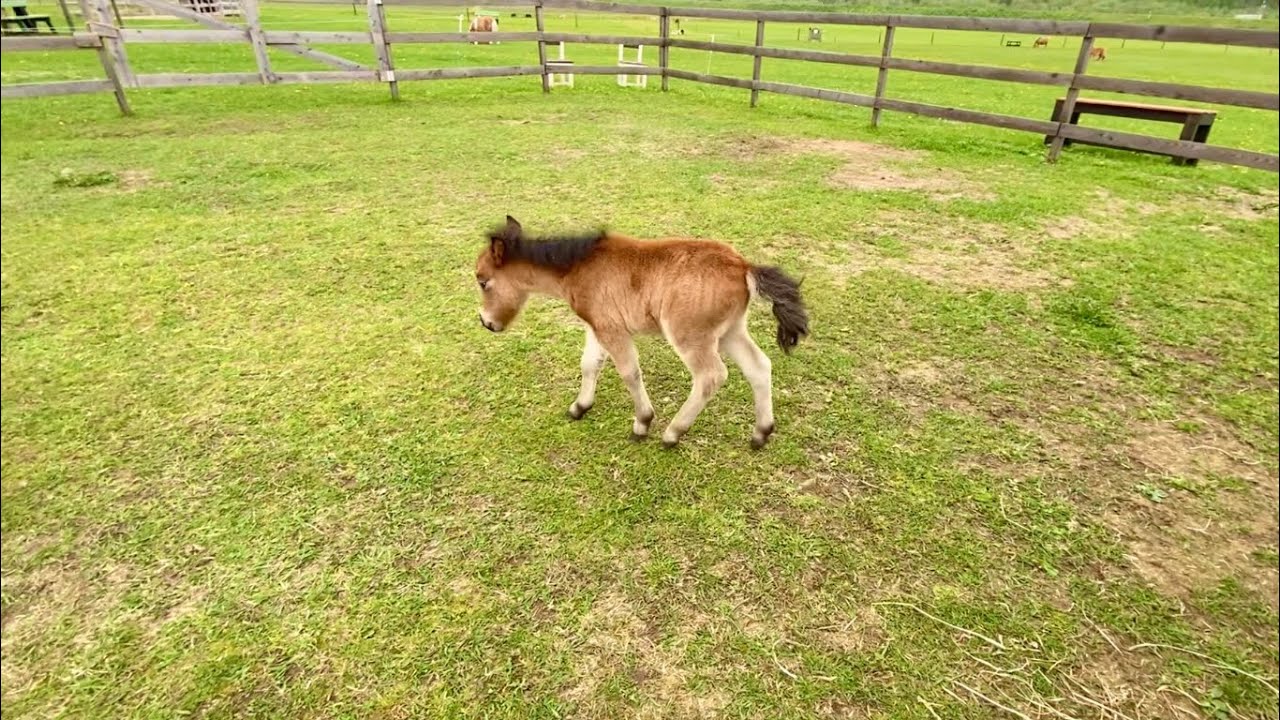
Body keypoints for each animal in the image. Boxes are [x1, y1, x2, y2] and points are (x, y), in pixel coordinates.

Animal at [475, 216, 809, 449]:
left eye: (482, 281)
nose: (487, 323)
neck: (579, 267)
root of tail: (743, 266)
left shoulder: (612, 330)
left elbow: (629, 372)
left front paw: (642, 423)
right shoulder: (597, 326)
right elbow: (589, 364)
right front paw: (579, 407)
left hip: (691, 336)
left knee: (711, 376)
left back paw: (672, 433)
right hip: (731, 331)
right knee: (759, 366)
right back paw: (760, 434)